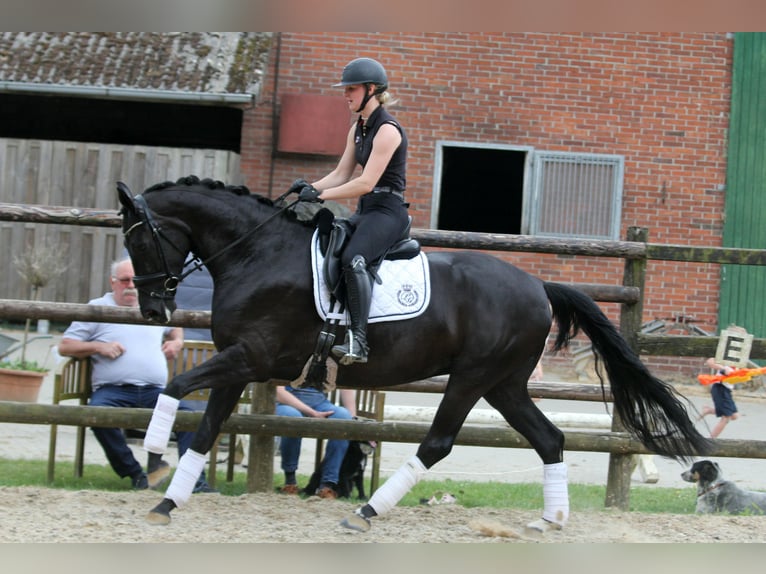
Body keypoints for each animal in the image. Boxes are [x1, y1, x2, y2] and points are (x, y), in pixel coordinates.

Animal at [117, 176, 712, 536]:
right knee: (549, 439)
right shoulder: (239, 362)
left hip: (472, 377)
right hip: (505, 384)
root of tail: (538, 286)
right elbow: (207, 428)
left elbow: (174, 388)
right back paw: (551, 519)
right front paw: (168, 501)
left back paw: (366, 511)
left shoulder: (253, 357)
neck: (257, 253)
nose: (152, 308)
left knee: (439, 442)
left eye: (140, 241)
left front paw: (154, 453)